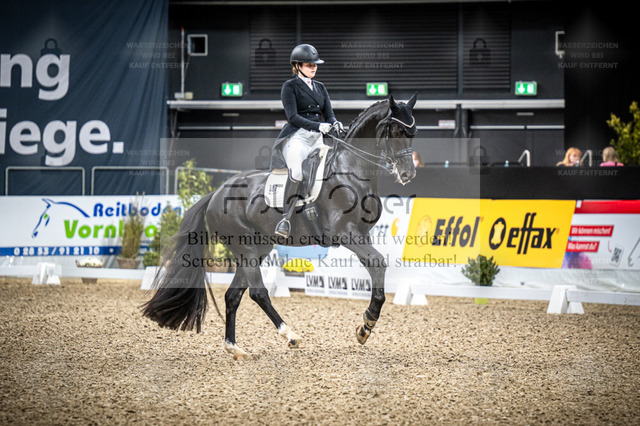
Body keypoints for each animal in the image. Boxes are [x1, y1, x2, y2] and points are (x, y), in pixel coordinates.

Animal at [142, 94, 418, 360]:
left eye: (413, 132)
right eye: (396, 131)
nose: (408, 174)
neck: (350, 171)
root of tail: (216, 194)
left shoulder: (362, 235)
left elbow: (376, 266)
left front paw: (365, 327)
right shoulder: (346, 233)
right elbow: (378, 263)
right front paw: (367, 324)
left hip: (256, 249)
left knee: (233, 296)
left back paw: (235, 348)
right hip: (246, 249)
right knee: (258, 293)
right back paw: (290, 335)